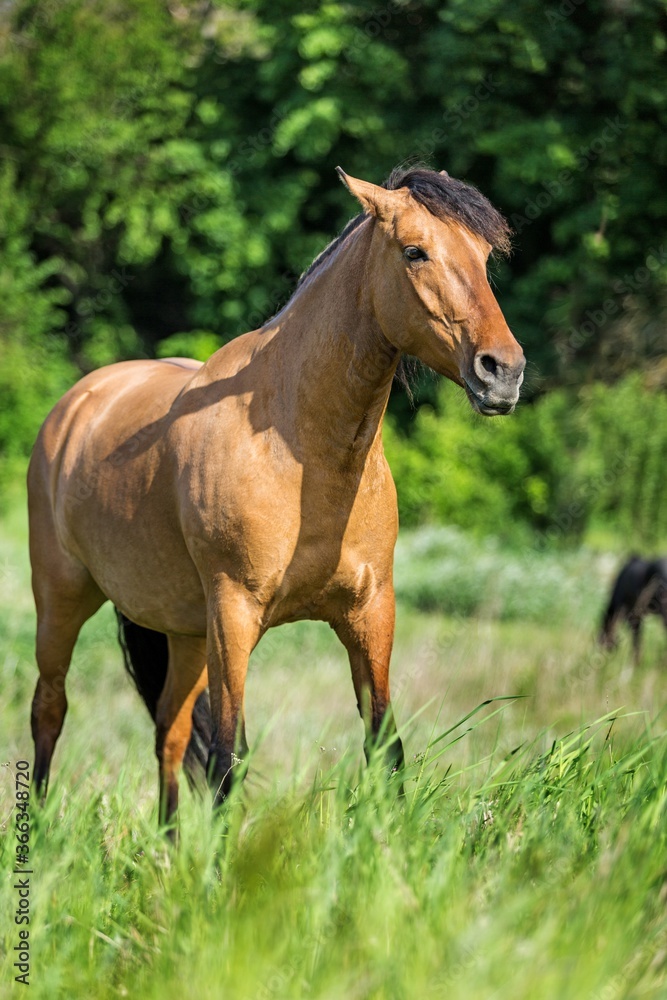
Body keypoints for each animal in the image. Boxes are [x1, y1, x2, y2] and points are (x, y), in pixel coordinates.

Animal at [28, 164, 524, 824]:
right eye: (415, 251)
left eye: (485, 257)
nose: (504, 371)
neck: (301, 453)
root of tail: (76, 405)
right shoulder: (235, 617)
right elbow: (229, 758)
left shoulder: (370, 613)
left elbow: (384, 745)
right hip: (63, 600)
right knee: (50, 712)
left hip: (185, 635)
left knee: (169, 733)